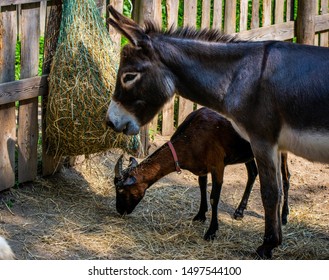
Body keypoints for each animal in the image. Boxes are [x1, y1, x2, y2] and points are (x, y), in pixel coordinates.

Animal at [113, 107, 290, 241]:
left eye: (121, 190)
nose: (120, 210)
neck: (192, 136)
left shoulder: (218, 165)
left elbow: (214, 197)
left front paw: (211, 231)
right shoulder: (201, 167)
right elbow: (202, 188)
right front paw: (200, 215)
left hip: (280, 149)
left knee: (286, 177)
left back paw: (284, 216)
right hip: (248, 152)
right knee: (253, 173)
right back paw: (239, 211)